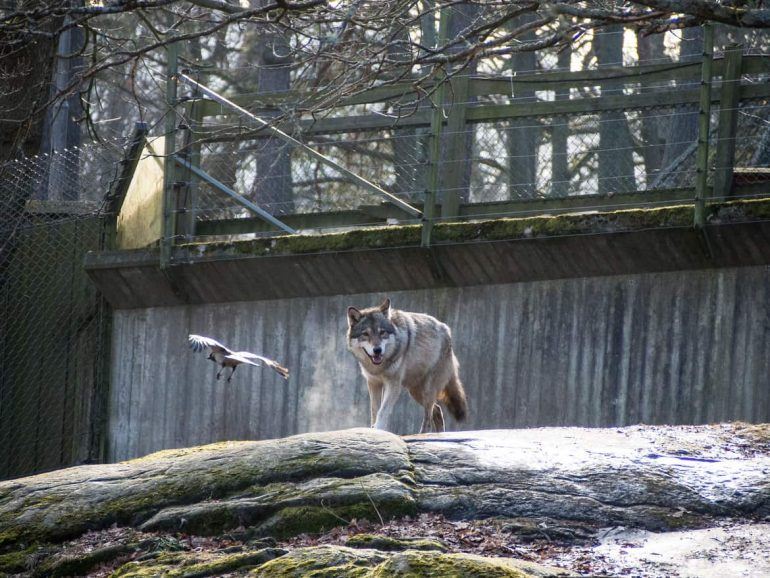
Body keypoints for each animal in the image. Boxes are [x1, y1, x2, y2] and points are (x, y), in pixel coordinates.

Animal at [344, 296, 464, 432]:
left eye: (382, 332)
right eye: (365, 334)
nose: (377, 350)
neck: (379, 367)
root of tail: (447, 329)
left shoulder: (393, 385)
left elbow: (382, 411)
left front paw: (378, 430)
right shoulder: (373, 383)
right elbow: (374, 411)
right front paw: (373, 430)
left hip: (427, 391)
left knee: (428, 417)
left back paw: (423, 434)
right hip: (415, 392)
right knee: (437, 411)